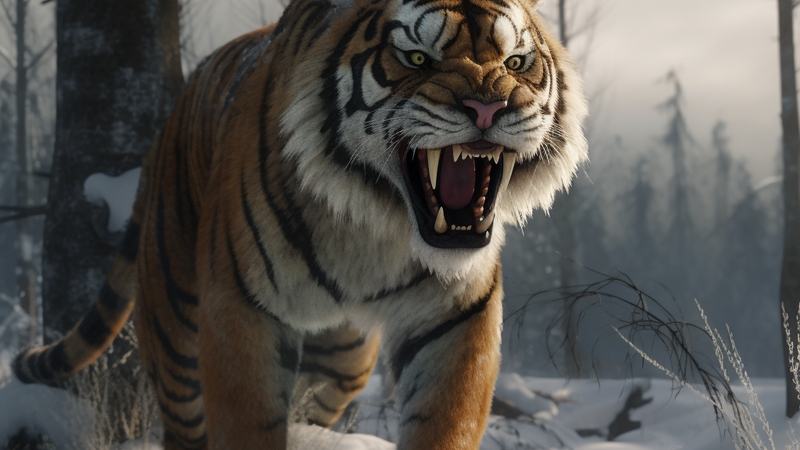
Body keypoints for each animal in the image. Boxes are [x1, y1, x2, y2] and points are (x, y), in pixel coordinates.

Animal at [12, 0, 587, 447]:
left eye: (516, 61)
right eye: (418, 58)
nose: (488, 108)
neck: (375, 228)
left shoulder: (457, 317)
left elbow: (448, 422)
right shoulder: (240, 314)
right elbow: (247, 425)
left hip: (343, 358)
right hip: (177, 332)